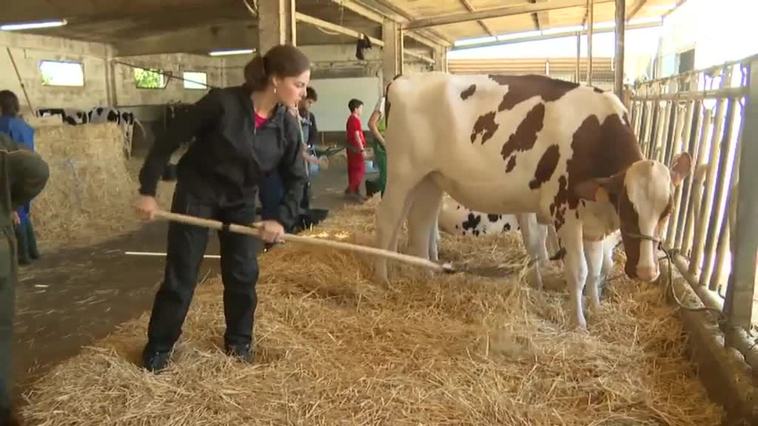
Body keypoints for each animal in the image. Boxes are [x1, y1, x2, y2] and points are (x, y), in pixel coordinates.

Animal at [378, 73, 692, 330]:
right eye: (626, 208)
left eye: (668, 211)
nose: (647, 271)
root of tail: (403, 79)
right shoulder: (565, 213)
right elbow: (579, 271)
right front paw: (579, 323)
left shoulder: (592, 224)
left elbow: (595, 271)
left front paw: (597, 308)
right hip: (402, 174)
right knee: (389, 219)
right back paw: (381, 275)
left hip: (430, 180)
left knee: (419, 224)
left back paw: (418, 274)